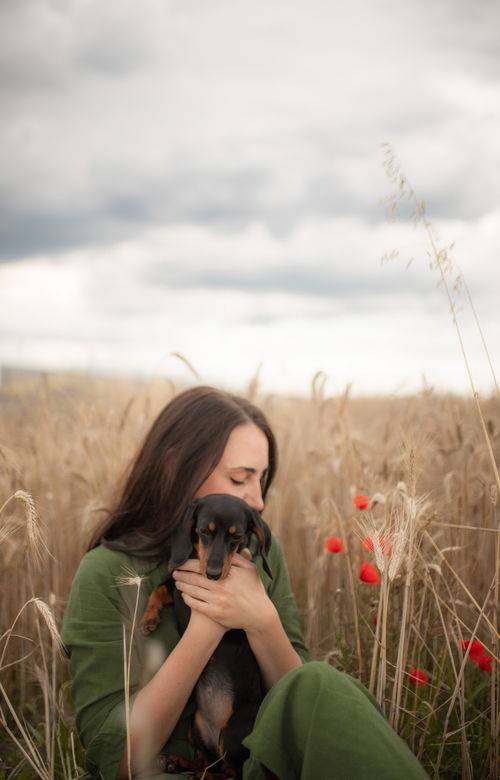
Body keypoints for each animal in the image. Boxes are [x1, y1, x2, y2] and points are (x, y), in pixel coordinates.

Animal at [140, 494, 274, 780]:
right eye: (203, 531)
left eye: (237, 537)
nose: (213, 574)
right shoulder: (178, 581)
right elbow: (159, 588)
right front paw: (149, 619)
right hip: (195, 727)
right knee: (206, 760)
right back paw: (178, 762)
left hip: (233, 733)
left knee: (230, 772)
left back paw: (202, 775)